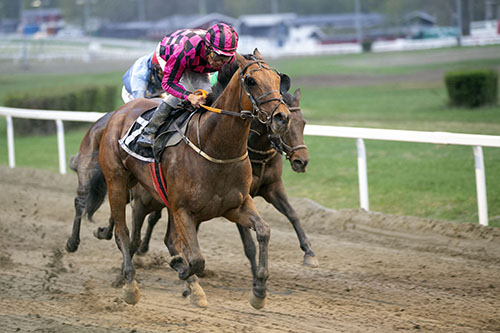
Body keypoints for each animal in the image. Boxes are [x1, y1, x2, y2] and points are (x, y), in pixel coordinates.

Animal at [69, 50, 292, 308]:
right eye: (252, 81)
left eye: (277, 80)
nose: (282, 117)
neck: (215, 147)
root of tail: (119, 113)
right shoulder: (182, 209)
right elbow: (195, 259)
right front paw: (183, 272)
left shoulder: (235, 205)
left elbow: (264, 230)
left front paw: (259, 291)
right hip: (116, 181)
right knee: (121, 232)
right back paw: (128, 283)